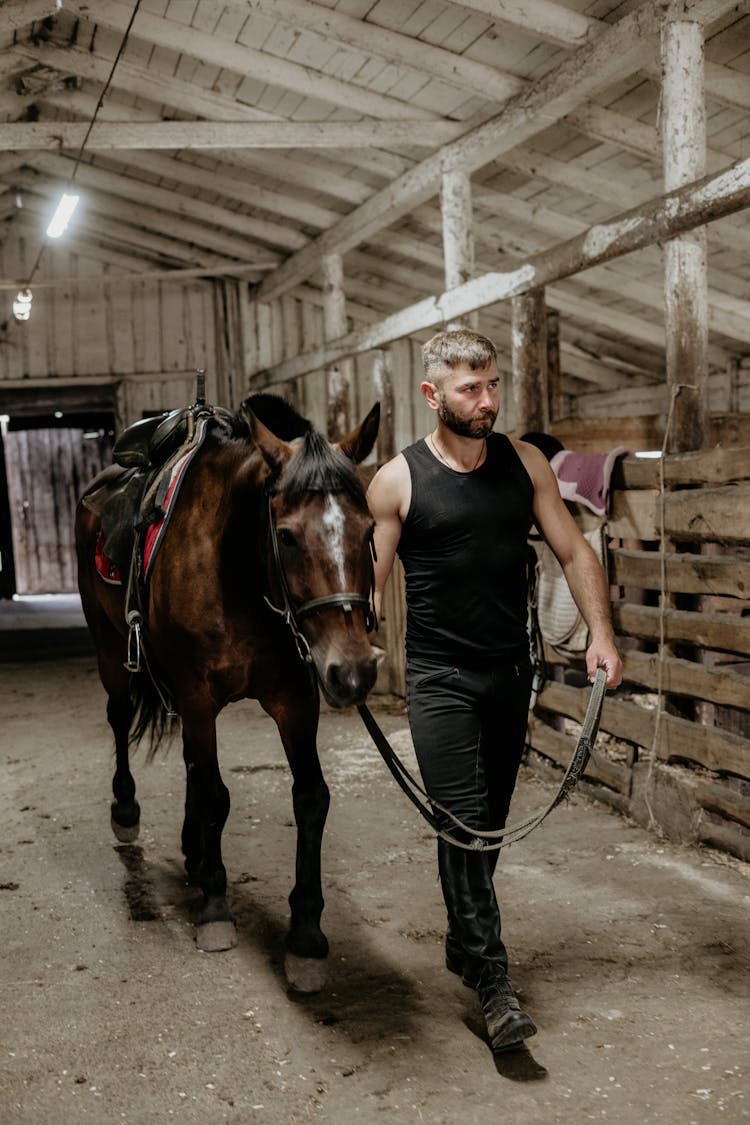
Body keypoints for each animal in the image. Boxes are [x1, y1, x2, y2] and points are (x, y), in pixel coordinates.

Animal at [76, 398, 377, 994]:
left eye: (370, 528)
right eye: (286, 535)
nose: (352, 672)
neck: (239, 570)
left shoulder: (294, 698)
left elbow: (310, 797)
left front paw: (306, 935)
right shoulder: (197, 695)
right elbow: (216, 794)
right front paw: (216, 908)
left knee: (191, 761)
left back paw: (194, 851)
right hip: (111, 649)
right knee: (121, 718)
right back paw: (127, 810)